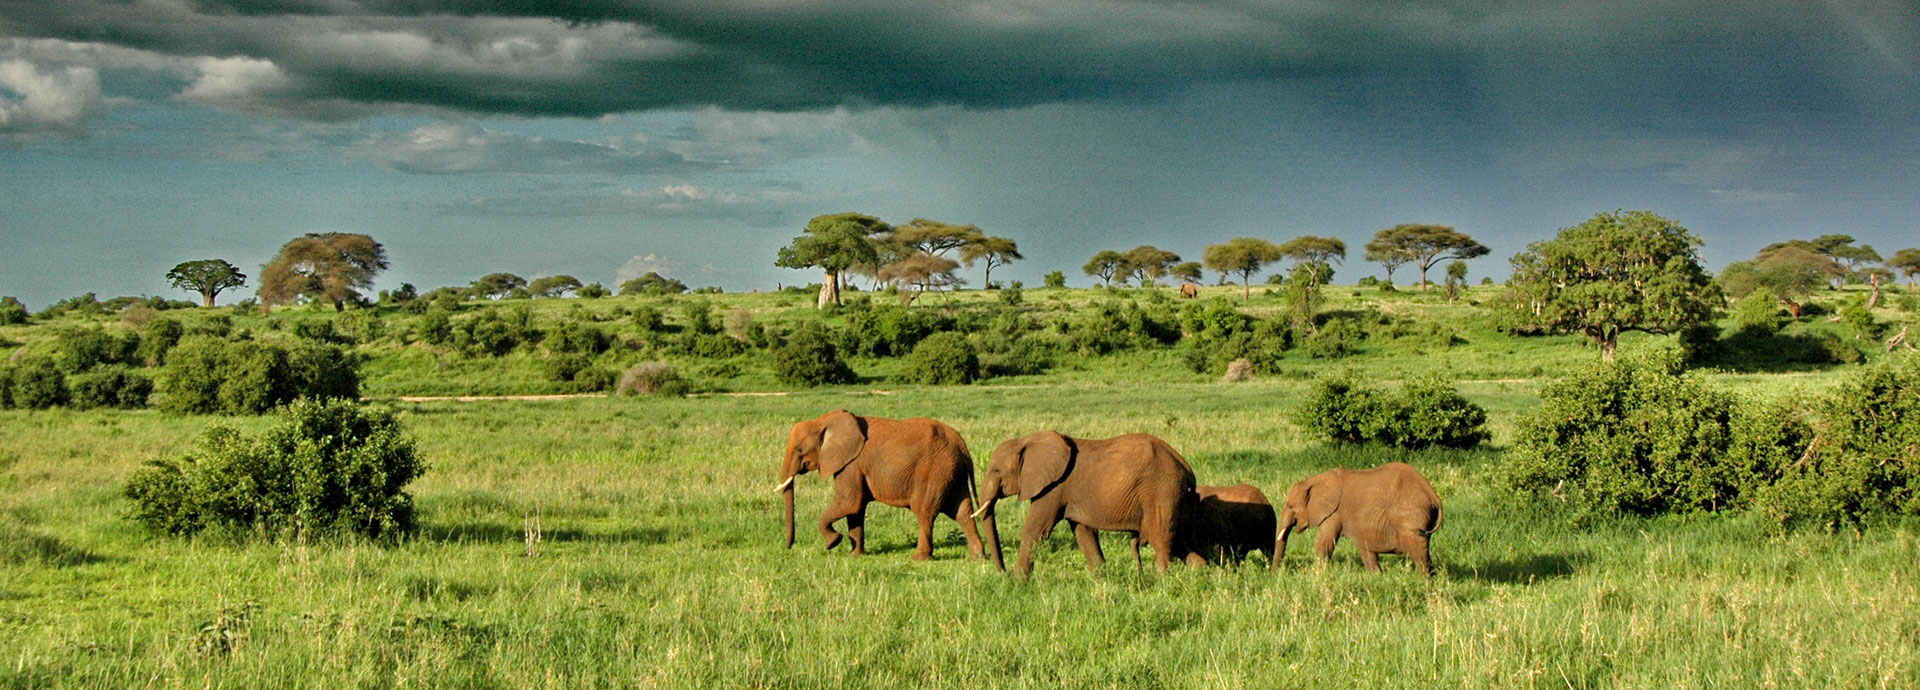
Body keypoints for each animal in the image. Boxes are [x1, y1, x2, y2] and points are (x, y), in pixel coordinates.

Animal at [775, 409, 986, 561]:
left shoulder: (851, 465)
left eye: (799, 450)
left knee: (924, 512)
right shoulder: (852, 466)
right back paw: (977, 558)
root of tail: (962, 446)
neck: (824, 421)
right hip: (951, 473)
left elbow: (849, 503)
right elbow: (856, 510)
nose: (788, 547)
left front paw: (833, 542)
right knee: (963, 512)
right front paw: (854, 556)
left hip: (934, 472)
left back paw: (918, 558)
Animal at [972, 430, 1199, 577]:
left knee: (1161, 538)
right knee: (1178, 539)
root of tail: (1186, 467)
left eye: (996, 471)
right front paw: (1101, 576)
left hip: (1161, 491)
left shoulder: (1053, 488)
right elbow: (1083, 532)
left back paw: (1163, 579)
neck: (1027, 440)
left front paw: (1018, 582)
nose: (1003, 572)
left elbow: (1035, 529)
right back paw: (1200, 574)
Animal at [1272, 462, 1442, 575]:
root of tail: (1432, 493)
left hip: (1411, 518)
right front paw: (1376, 577)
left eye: (1290, 506)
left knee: (1418, 553)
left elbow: (1324, 543)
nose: (1273, 572)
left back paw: (1425, 580)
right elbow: (1364, 547)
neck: (1313, 481)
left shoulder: (1334, 513)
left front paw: (1319, 574)